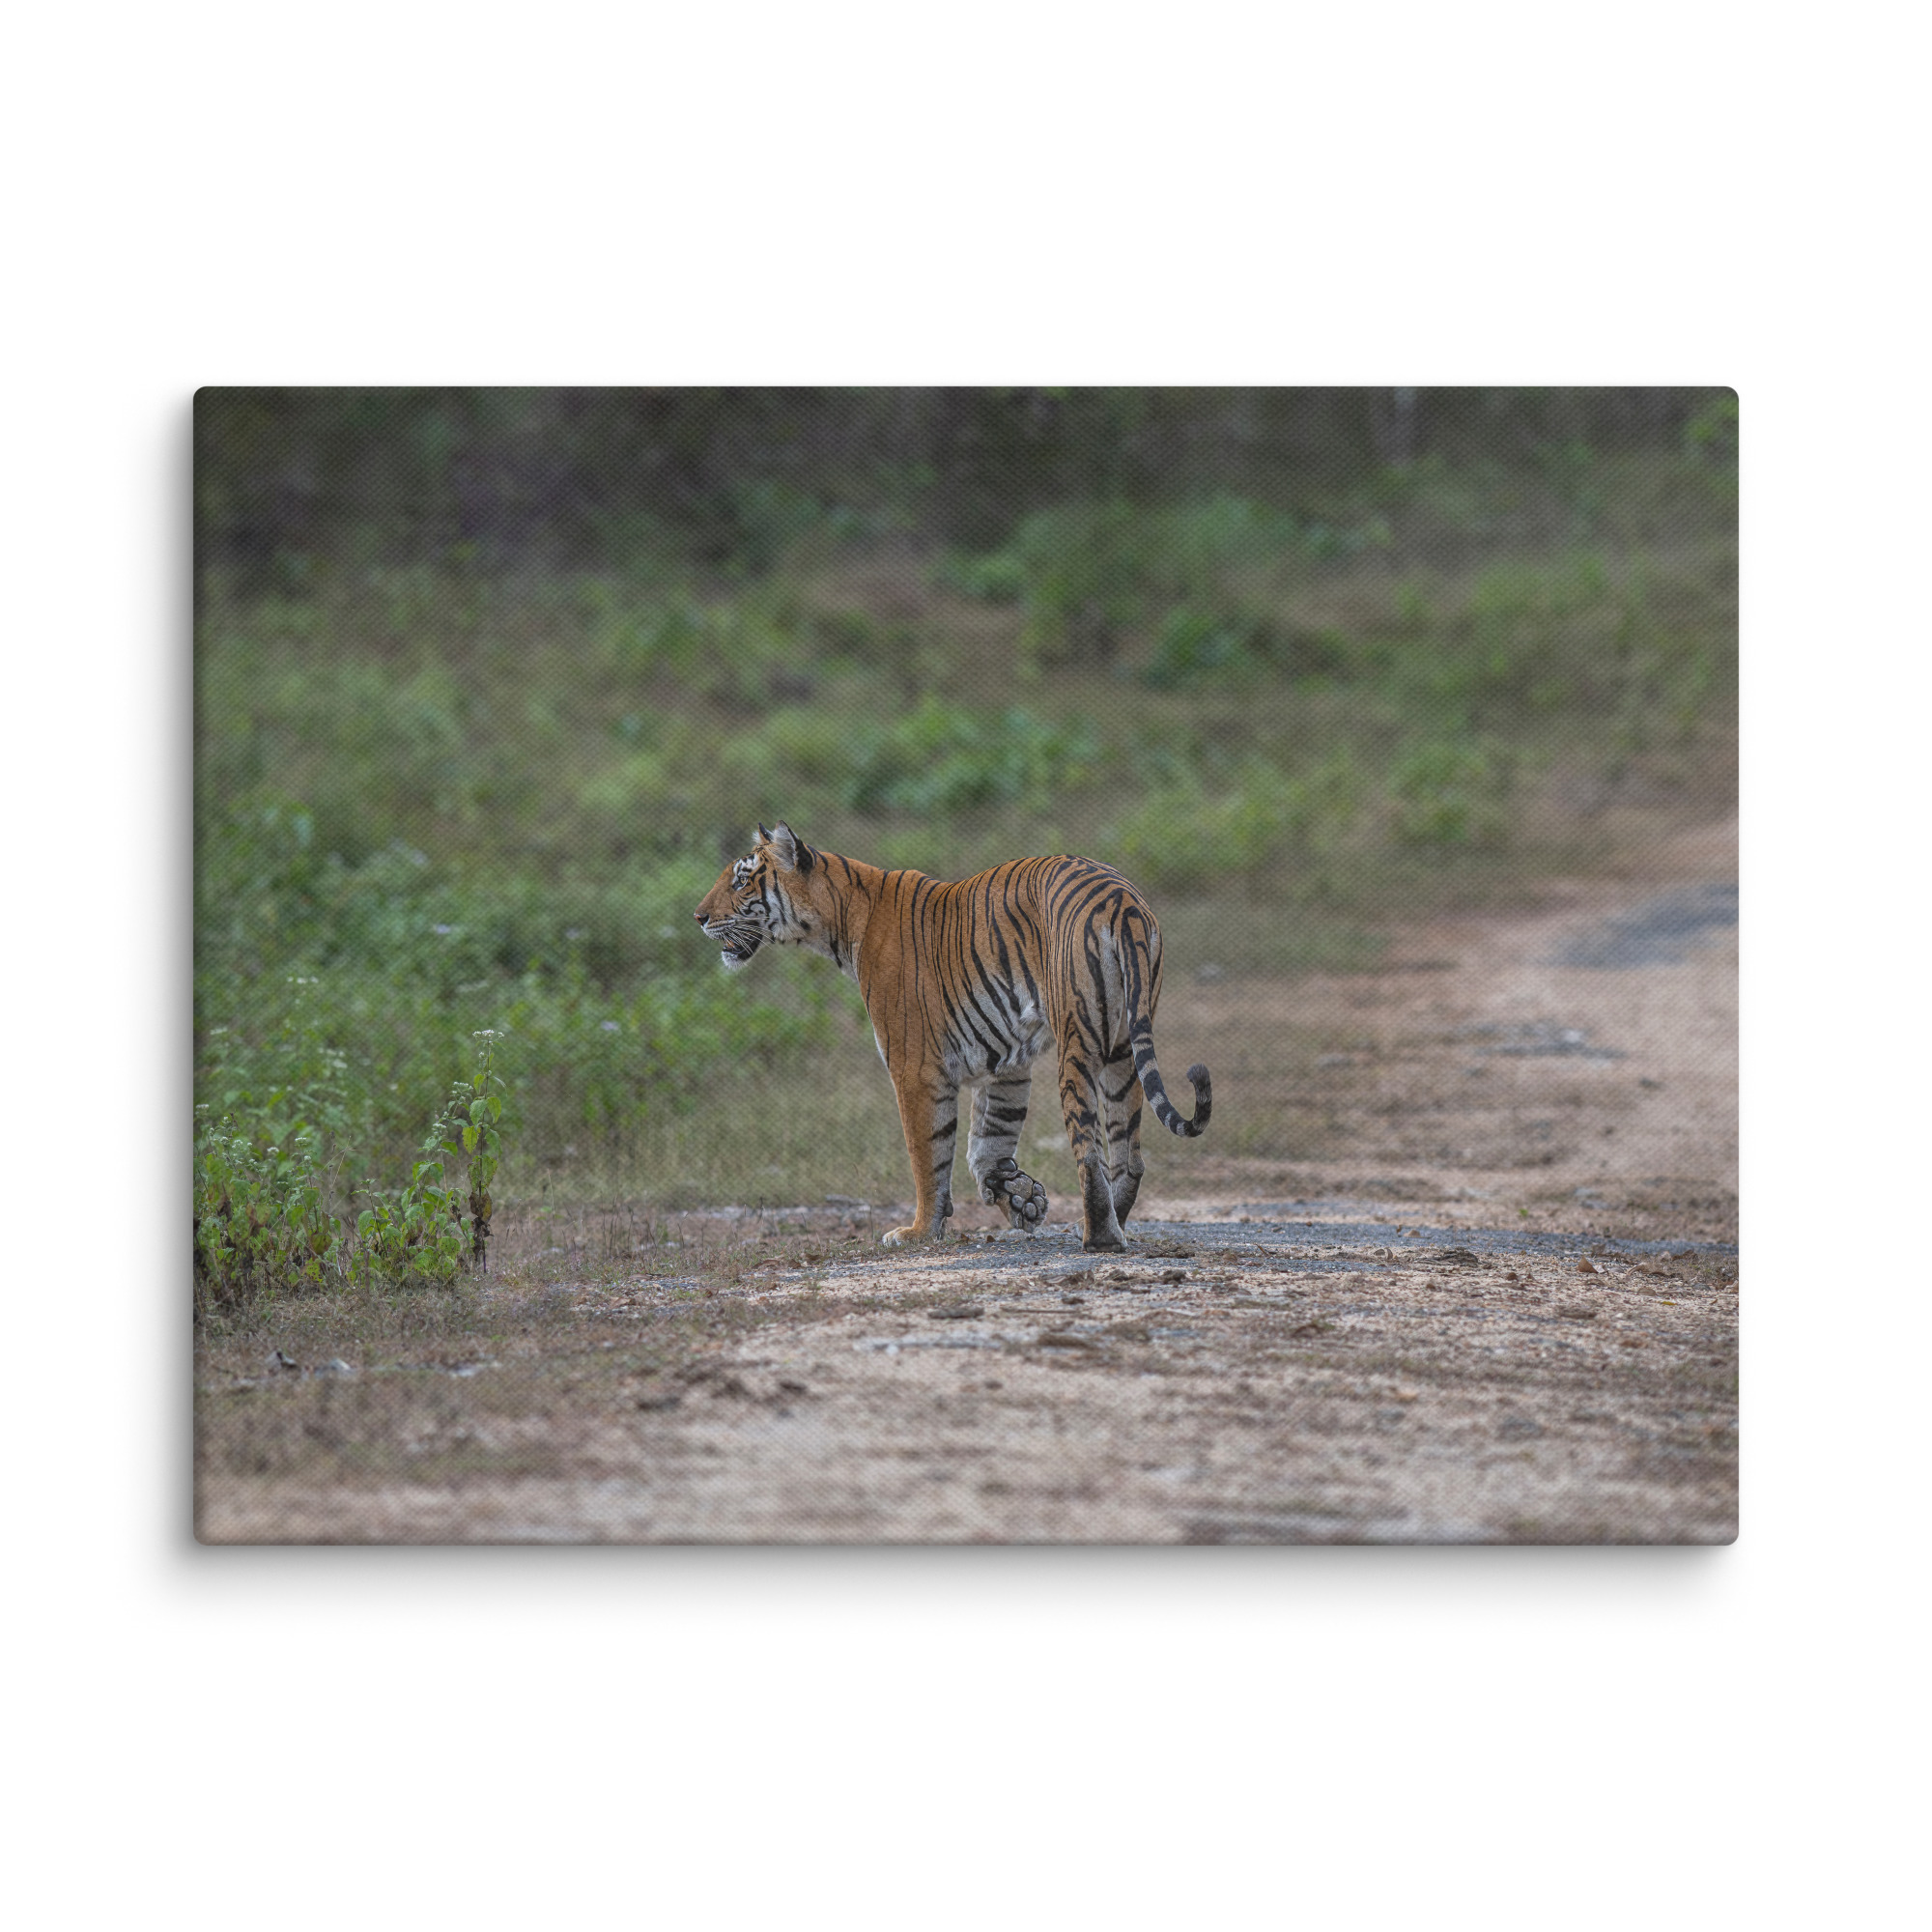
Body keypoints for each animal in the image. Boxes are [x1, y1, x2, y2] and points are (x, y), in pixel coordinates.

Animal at [694, 822, 1210, 1252]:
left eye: (741, 881)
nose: (698, 917)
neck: (840, 919)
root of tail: (1121, 900)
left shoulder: (914, 1067)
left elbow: (928, 1153)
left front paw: (920, 1230)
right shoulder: (1006, 1063)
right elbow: (988, 1140)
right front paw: (1019, 1197)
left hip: (1078, 1043)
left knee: (1089, 1151)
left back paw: (1098, 1237)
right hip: (1123, 1049)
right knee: (1129, 1155)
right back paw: (1112, 1223)